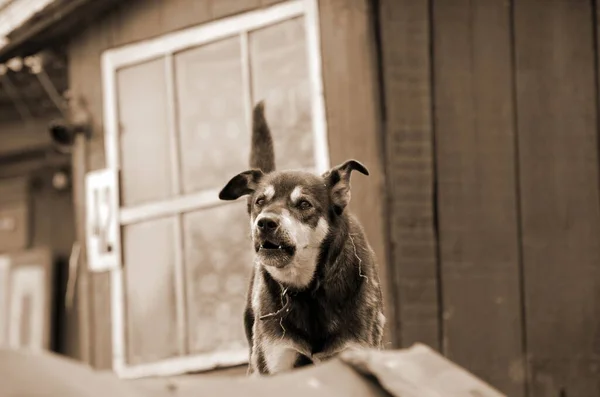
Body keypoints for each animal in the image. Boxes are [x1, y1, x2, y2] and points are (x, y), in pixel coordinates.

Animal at [218, 101, 386, 374]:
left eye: (304, 204)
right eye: (260, 201)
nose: (265, 223)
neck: (308, 290)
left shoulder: (356, 350)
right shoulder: (276, 359)